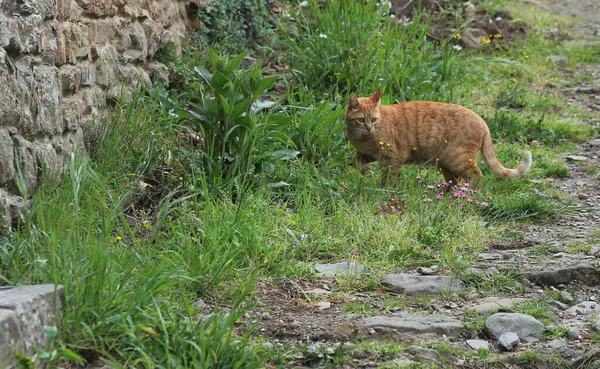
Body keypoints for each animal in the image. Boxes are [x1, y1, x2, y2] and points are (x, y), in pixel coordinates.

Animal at [344, 91, 532, 185]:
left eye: (374, 119)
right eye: (361, 120)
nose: (369, 128)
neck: (364, 139)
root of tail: (482, 120)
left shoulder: (392, 158)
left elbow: (388, 179)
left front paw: (382, 190)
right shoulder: (365, 154)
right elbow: (354, 162)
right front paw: (363, 173)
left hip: (457, 158)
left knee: (476, 175)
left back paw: (465, 196)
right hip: (445, 163)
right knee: (454, 181)